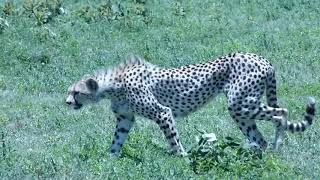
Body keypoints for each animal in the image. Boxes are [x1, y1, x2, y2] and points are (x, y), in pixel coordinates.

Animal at [65, 52, 316, 156]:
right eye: (70, 92)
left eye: (76, 92)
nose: (67, 102)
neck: (113, 85)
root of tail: (262, 59)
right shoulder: (125, 118)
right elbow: (117, 140)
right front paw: (110, 160)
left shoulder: (163, 113)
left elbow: (173, 139)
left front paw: (183, 158)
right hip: (242, 109)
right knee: (260, 136)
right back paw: (259, 154)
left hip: (240, 103)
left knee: (282, 112)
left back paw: (277, 145)